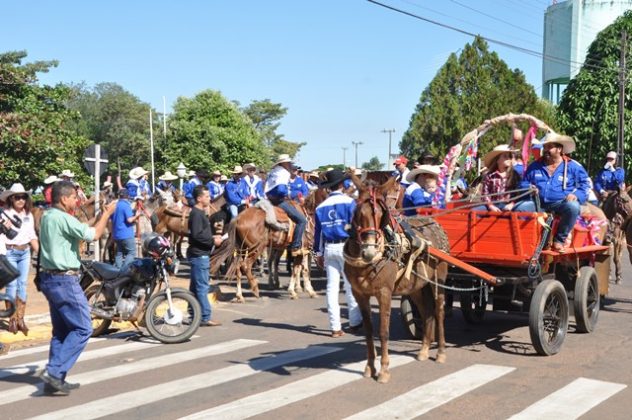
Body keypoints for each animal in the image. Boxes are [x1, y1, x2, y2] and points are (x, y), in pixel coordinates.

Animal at [343, 175, 449, 384]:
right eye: (358, 212)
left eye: (382, 213)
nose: (369, 251)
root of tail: (433, 222)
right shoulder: (359, 294)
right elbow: (369, 331)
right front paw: (369, 368)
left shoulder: (384, 292)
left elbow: (383, 332)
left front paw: (384, 370)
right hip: (415, 287)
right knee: (426, 312)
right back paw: (424, 349)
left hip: (438, 280)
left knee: (439, 311)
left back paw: (440, 352)